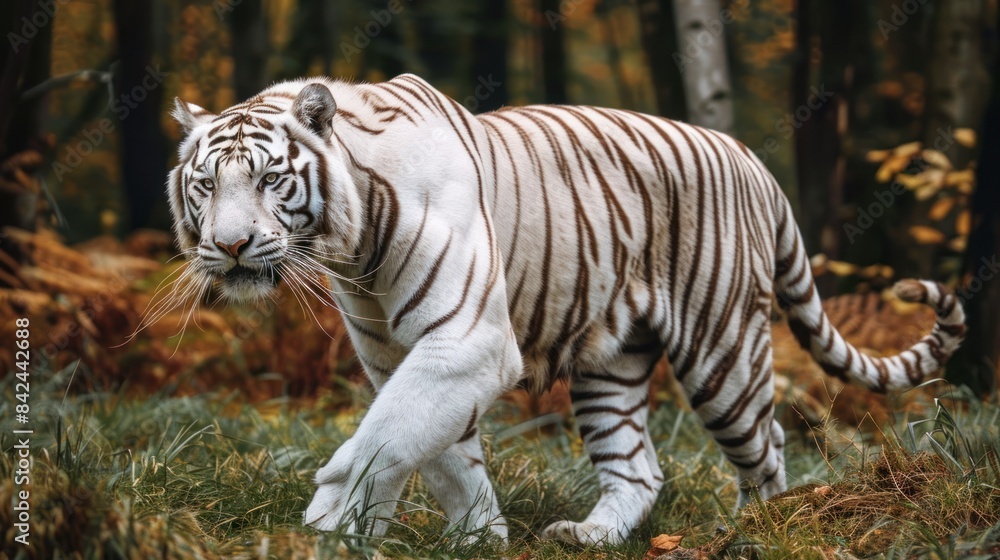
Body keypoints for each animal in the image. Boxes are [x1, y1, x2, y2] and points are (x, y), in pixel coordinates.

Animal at [163, 74, 965, 546]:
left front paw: (330, 519)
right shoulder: (396, 356)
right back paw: (588, 535)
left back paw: (762, 530)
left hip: (722, 353)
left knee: (765, 448)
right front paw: (473, 538)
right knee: (638, 467)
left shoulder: (468, 342)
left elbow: (384, 437)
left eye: (271, 180)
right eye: (205, 184)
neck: (353, 249)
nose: (230, 246)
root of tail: (753, 161)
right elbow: (433, 451)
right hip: (611, 359)